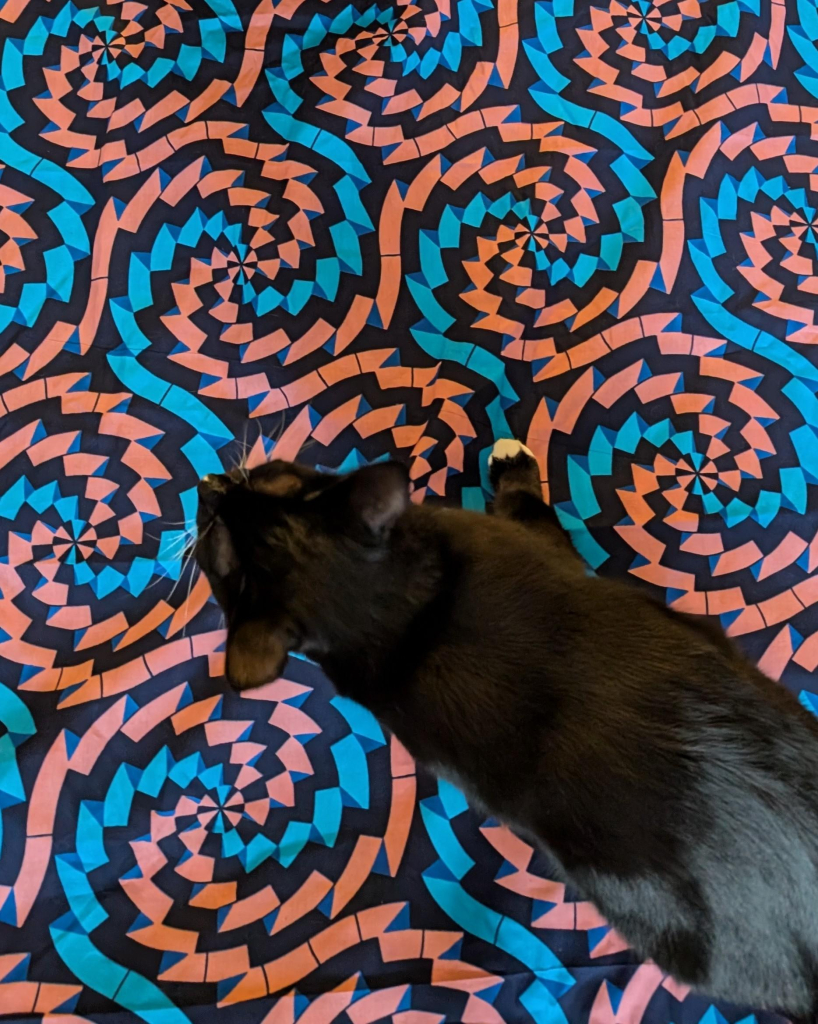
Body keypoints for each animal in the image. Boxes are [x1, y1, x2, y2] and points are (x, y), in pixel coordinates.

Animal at [193, 440, 818, 1015]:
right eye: (216, 533)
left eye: (266, 480)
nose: (210, 485)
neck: (390, 616)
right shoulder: (537, 542)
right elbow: (528, 503)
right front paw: (511, 462)